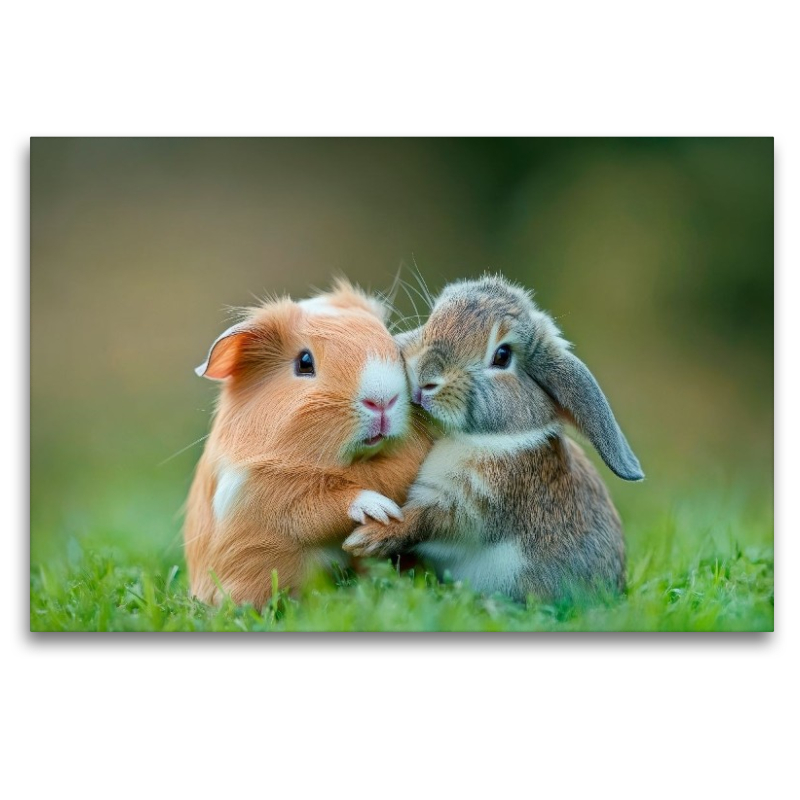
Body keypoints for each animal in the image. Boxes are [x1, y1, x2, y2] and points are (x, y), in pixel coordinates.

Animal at [184, 278, 432, 608]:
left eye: (391, 345)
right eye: (304, 363)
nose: (383, 401)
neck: (352, 464)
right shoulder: (270, 494)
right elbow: (321, 506)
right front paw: (380, 510)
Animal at [342, 274, 643, 604]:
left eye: (502, 356)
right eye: (432, 320)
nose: (426, 377)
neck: (484, 436)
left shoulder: (469, 503)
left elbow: (420, 520)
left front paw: (365, 539)